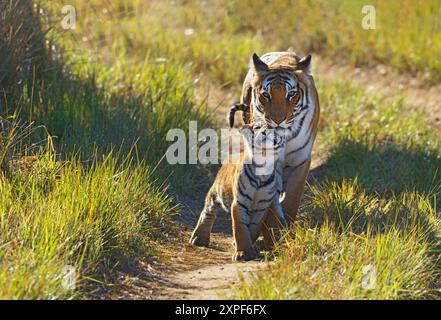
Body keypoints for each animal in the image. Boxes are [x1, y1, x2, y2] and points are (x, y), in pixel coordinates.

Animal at [229, 51, 318, 249]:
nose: (278, 120)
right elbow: (271, 204)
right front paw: (272, 235)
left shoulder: (301, 160)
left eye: (291, 94)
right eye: (266, 95)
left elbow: (292, 199)